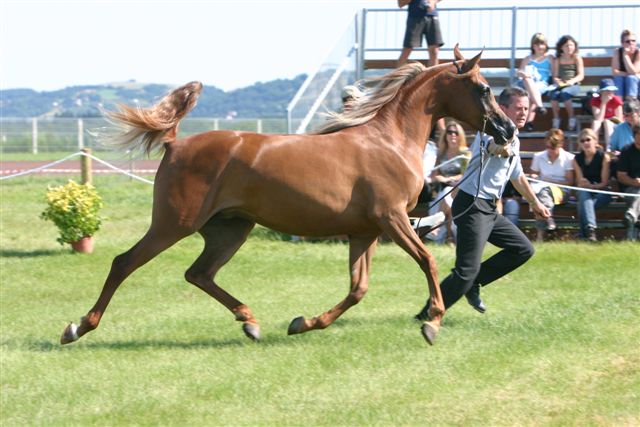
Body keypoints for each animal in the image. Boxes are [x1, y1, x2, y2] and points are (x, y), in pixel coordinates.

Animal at [60, 46, 515, 346]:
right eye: (484, 88)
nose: (508, 129)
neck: (388, 141)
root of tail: (175, 144)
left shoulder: (365, 232)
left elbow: (358, 288)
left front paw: (302, 323)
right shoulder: (392, 219)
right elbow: (427, 260)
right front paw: (432, 323)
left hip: (230, 229)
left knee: (199, 274)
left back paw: (250, 322)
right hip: (175, 223)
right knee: (125, 263)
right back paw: (77, 327)